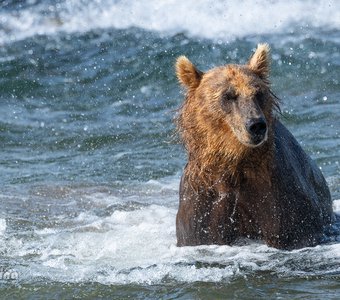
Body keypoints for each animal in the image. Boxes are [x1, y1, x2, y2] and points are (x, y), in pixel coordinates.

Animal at [174, 43, 334, 250]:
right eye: (228, 95)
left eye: (258, 93)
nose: (256, 125)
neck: (236, 164)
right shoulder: (203, 203)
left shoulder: (279, 197)